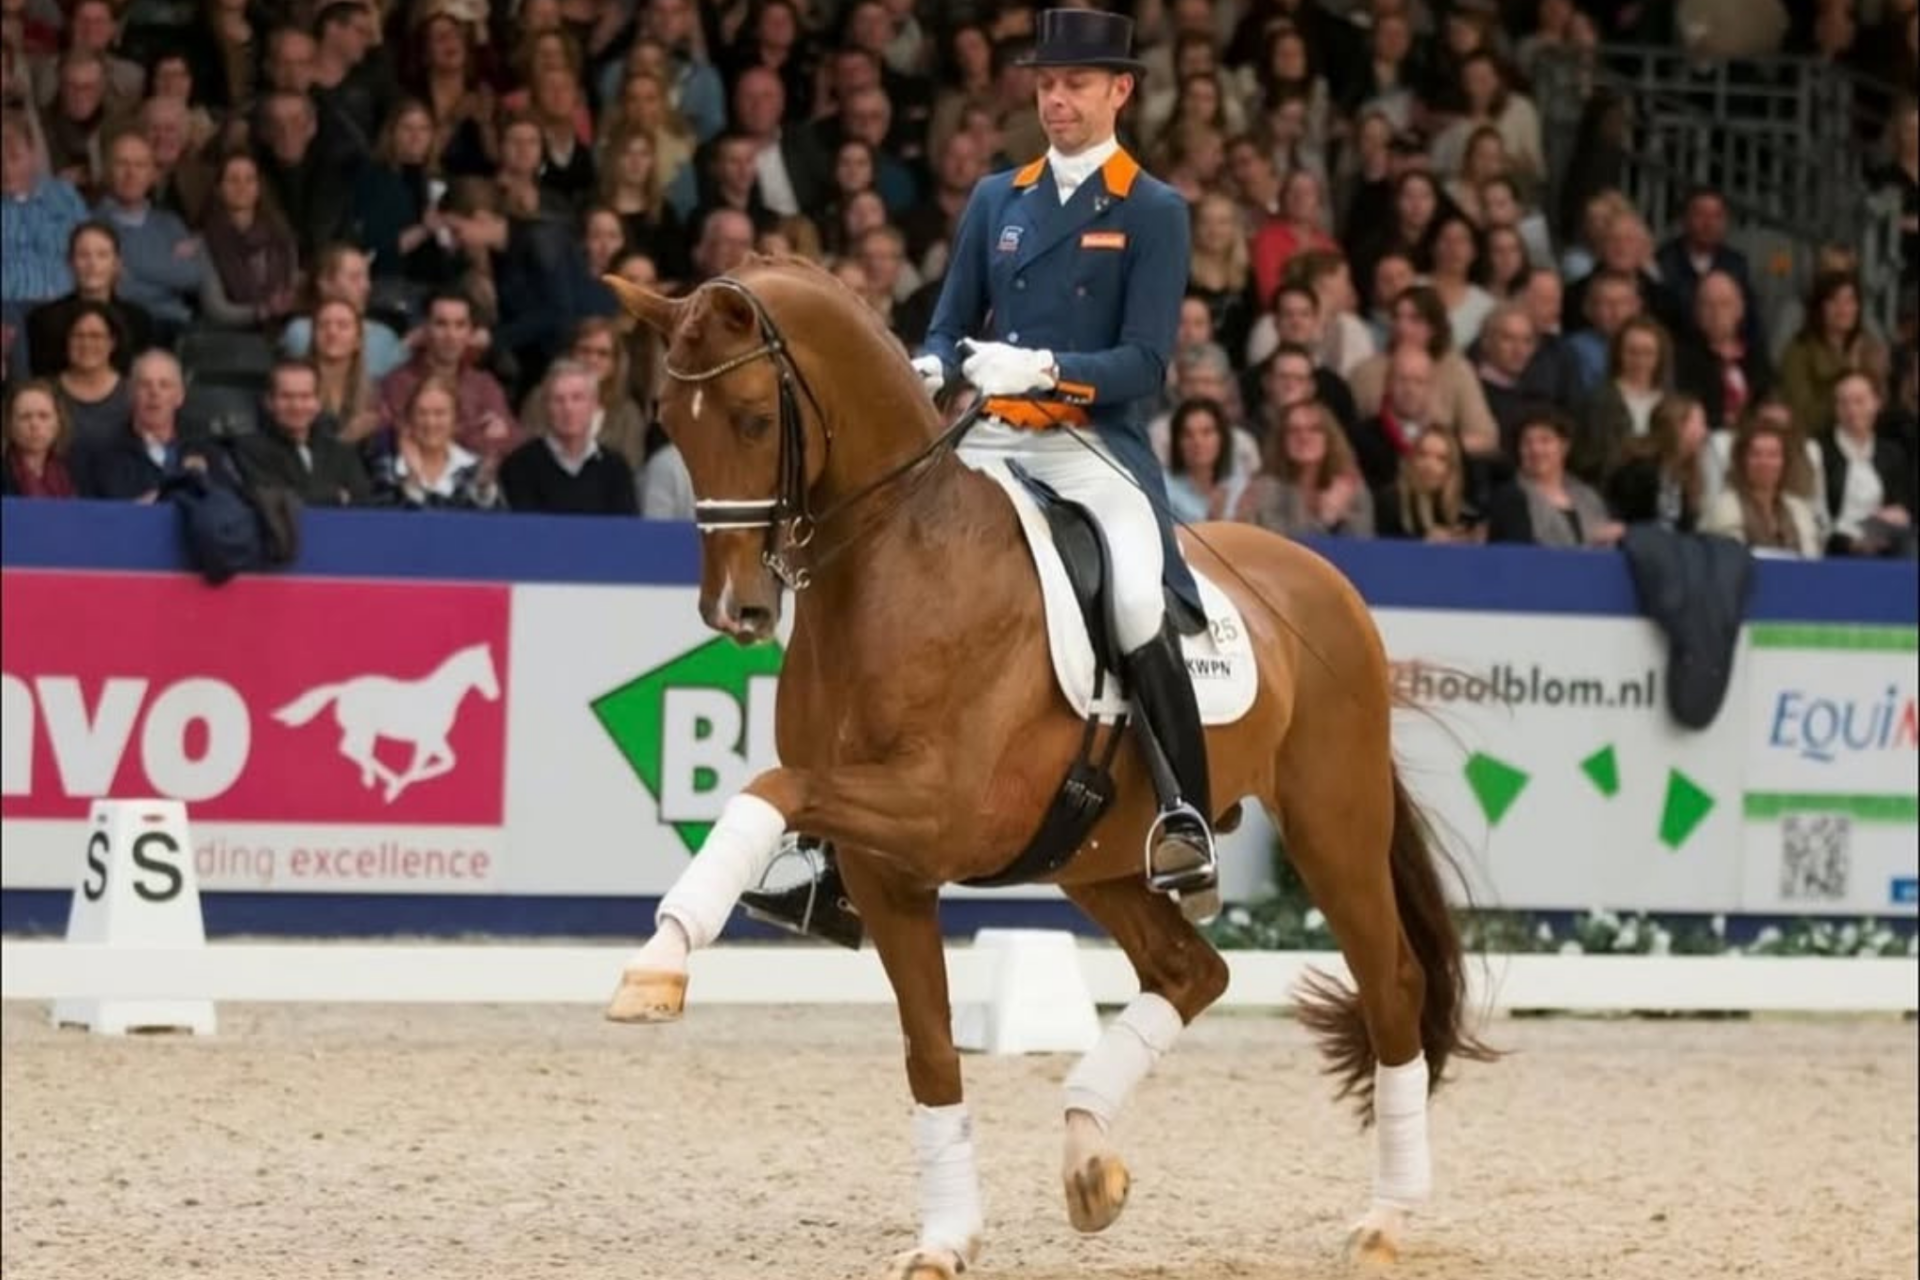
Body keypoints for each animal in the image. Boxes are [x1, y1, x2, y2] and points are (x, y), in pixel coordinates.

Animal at [271, 642, 500, 803]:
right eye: (486, 668)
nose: (495, 695)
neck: (438, 697)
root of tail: (344, 689)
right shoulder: (426, 739)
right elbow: (418, 765)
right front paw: (393, 791)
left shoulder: (436, 739)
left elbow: (448, 762)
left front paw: (395, 788)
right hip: (365, 729)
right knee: (353, 749)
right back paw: (380, 779)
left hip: (362, 731)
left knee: (351, 749)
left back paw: (370, 778)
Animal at [600, 257, 1493, 1279]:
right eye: (669, 422)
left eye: (752, 417)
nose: (735, 610)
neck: (897, 564)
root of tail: (1327, 581)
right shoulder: (885, 865)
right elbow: (931, 1050)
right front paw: (946, 1238)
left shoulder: (938, 811)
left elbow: (768, 791)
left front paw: (658, 964)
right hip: (1097, 857)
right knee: (1193, 974)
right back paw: (1089, 1159)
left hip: (1331, 826)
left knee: (1391, 985)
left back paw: (1386, 1217)